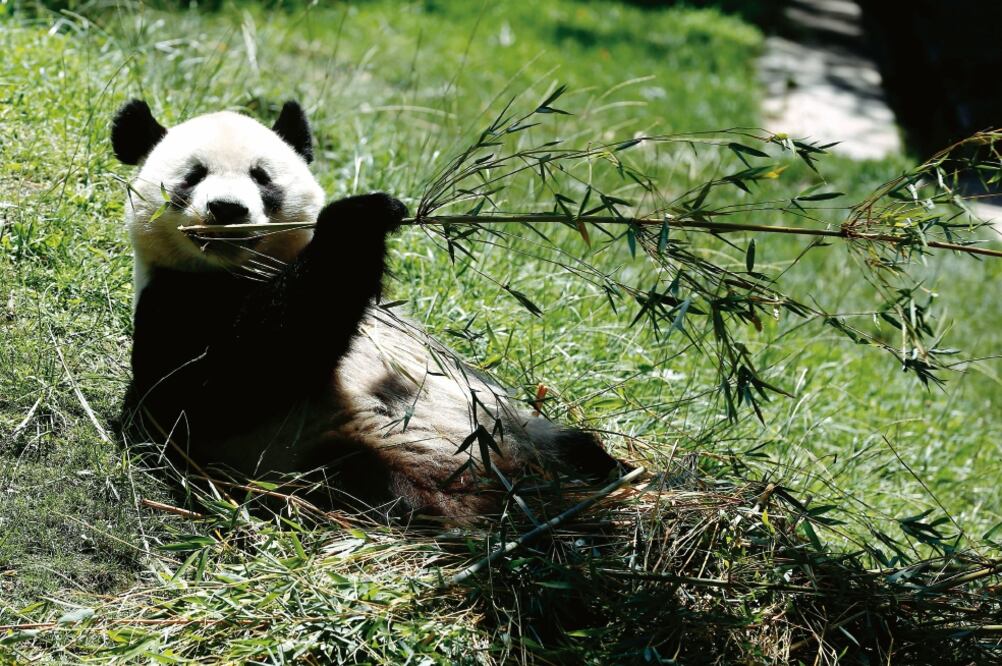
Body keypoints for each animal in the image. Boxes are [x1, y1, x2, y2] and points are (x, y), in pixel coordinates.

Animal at [111, 99, 620, 521]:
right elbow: (223, 387)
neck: (243, 270)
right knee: (370, 483)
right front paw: (361, 215)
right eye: (193, 175)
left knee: (572, 446)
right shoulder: (176, 301)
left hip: (517, 427)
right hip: (350, 451)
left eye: (261, 177)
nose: (227, 209)